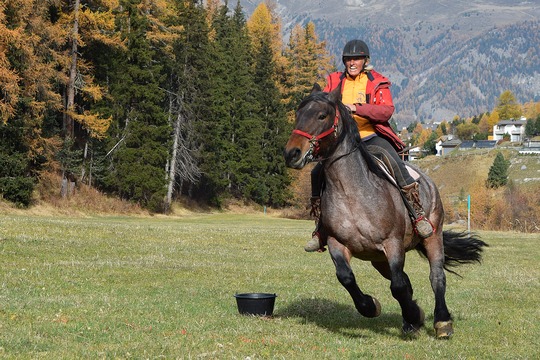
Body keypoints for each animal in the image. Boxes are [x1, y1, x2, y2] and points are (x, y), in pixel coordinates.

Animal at [284, 83, 488, 338]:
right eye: (298, 115)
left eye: (322, 115)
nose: (291, 153)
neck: (351, 193)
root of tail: (428, 182)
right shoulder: (336, 243)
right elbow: (347, 278)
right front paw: (373, 307)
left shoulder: (393, 244)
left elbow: (398, 286)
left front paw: (414, 315)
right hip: (377, 259)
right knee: (406, 281)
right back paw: (412, 321)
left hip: (432, 237)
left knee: (436, 277)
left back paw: (442, 322)